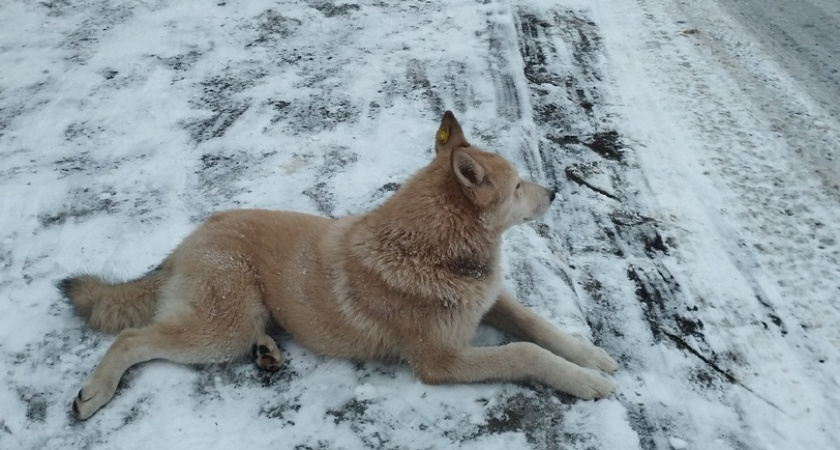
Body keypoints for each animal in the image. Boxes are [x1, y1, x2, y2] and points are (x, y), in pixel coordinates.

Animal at [60, 110, 616, 420]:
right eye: (519, 186)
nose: (556, 192)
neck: (429, 248)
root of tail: (189, 238)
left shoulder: (490, 299)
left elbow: (536, 325)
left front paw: (589, 356)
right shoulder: (440, 363)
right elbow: (525, 352)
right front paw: (585, 382)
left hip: (240, 318)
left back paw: (267, 351)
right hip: (220, 329)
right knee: (132, 338)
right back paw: (96, 392)